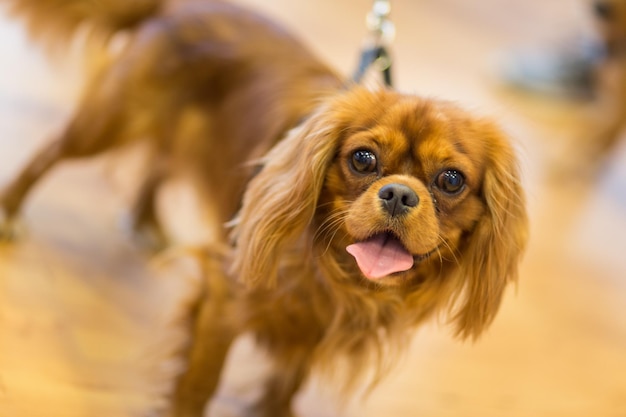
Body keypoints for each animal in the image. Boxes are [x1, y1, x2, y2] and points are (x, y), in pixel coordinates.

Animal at [1, 0, 528, 416]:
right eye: (363, 159)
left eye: (451, 180)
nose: (398, 193)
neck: (340, 274)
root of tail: (182, 5)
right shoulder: (223, 297)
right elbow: (198, 385)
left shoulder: (313, 331)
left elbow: (288, 379)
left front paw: (274, 408)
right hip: (113, 122)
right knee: (49, 154)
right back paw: (10, 212)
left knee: (160, 162)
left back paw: (146, 218)